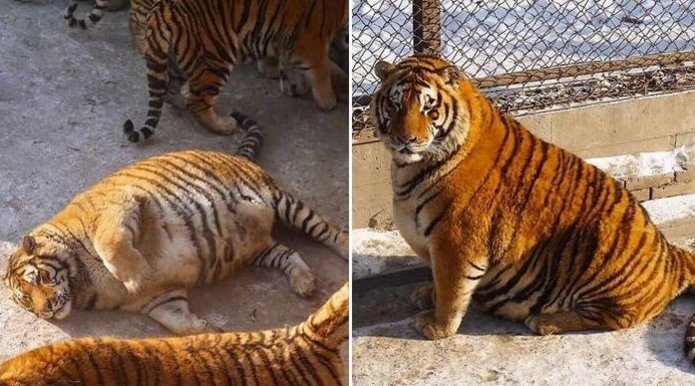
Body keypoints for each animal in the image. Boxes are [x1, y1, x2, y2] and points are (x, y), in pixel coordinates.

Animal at [0, 113, 348, 336]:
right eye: (27, 300)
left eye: (40, 278)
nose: (46, 310)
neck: (82, 283)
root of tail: (238, 156)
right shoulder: (159, 299)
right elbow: (176, 322)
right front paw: (207, 329)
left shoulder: (118, 208)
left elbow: (112, 245)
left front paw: (139, 275)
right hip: (259, 250)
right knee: (288, 252)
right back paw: (304, 283)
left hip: (283, 202)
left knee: (327, 231)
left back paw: (346, 250)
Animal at [123, 0, 350, 143]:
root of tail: (160, 11)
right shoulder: (311, 42)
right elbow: (324, 71)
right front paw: (328, 101)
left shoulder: (289, 43)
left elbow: (292, 67)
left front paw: (292, 86)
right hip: (217, 56)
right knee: (198, 101)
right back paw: (224, 125)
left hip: (179, 58)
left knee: (172, 89)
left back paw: (180, 101)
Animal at [372, 55, 695, 362]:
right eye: (395, 104)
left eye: (429, 109)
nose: (405, 140)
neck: (409, 168)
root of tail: (672, 255)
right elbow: (438, 282)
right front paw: (427, 294)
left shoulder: (456, 241)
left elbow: (451, 290)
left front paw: (437, 327)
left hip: (605, 245)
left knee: (616, 318)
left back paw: (544, 321)